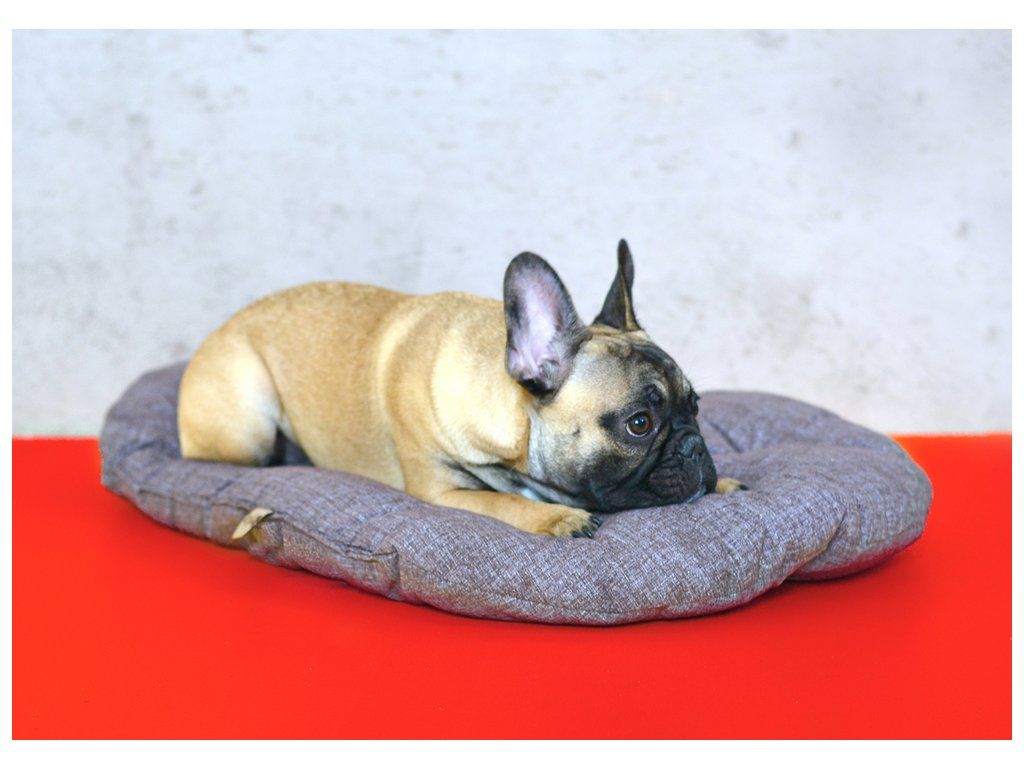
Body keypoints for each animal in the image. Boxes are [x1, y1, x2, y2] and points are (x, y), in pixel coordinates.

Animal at [178, 240, 744, 538]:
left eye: (696, 407)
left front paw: (723, 482)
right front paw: (561, 516)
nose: (695, 448)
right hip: (247, 428)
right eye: (639, 424)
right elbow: (506, 503)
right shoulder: (442, 492)